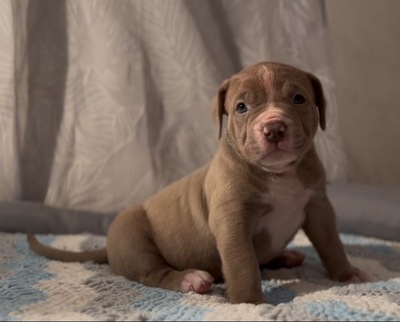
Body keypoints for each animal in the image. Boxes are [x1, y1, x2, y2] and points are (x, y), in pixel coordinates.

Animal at [28, 61, 368, 304]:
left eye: (299, 99)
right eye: (242, 107)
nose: (273, 128)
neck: (278, 174)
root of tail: (109, 250)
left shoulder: (318, 208)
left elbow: (331, 244)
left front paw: (346, 276)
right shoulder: (231, 220)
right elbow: (243, 262)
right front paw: (249, 304)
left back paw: (285, 256)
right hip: (132, 232)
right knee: (154, 273)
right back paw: (190, 279)